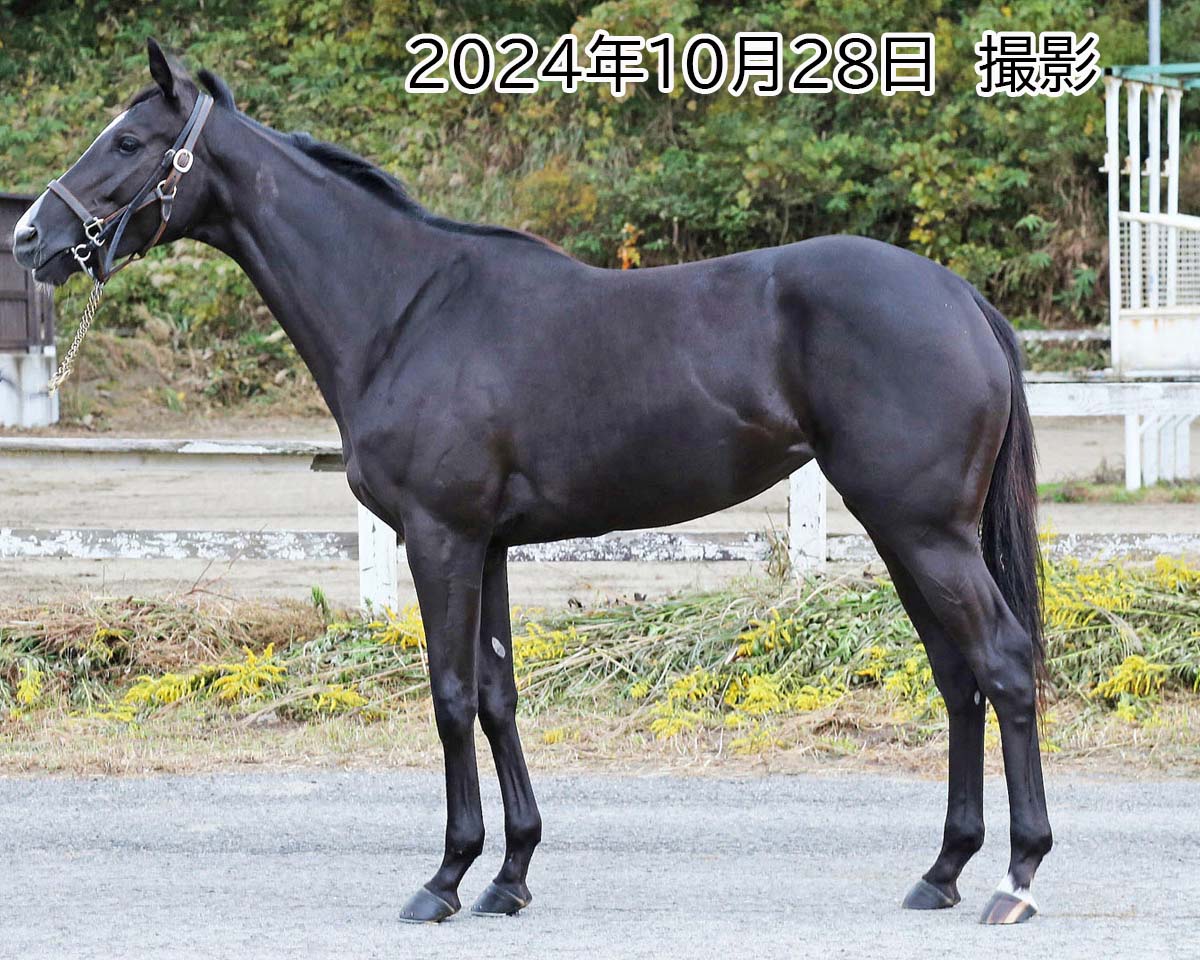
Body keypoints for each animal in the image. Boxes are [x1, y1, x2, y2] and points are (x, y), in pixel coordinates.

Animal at [12, 39, 1051, 926]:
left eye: (129, 142)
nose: (28, 236)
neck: (406, 310)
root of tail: (958, 296)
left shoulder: (440, 539)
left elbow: (448, 697)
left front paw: (443, 878)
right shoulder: (490, 548)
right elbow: (498, 695)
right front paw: (508, 876)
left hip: (923, 531)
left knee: (1001, 664)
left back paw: (1015, 878)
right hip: (901, 532)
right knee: (958, 677)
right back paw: (943, 871)